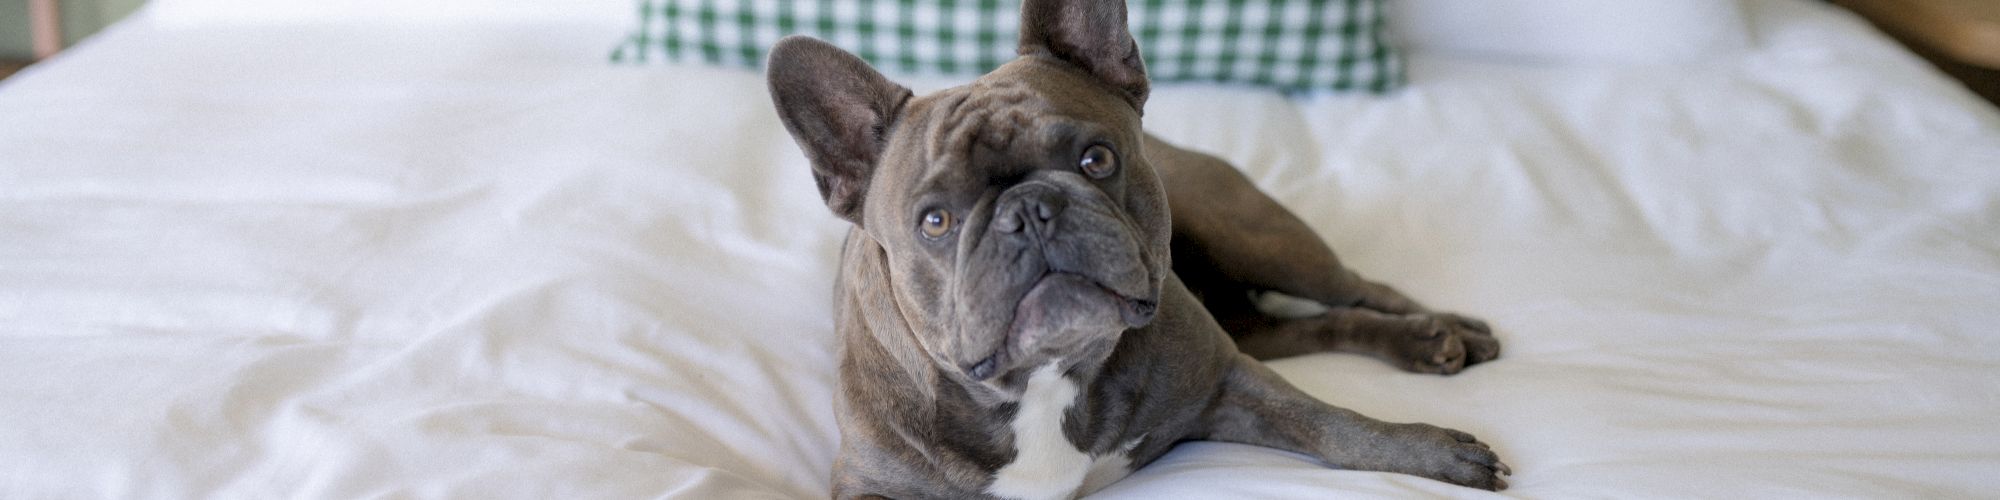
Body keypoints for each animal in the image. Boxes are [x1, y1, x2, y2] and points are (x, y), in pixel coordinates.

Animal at [760, 0, 1504, 496]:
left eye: (1096, 158)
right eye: (935, 222)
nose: (1028, 210)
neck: (1046, 380)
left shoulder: (1226, 380)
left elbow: (1334, 425)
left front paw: (1431, 454)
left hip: (1257, 239)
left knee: (1360, 289)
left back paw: (1443, 332)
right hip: (1249, 317)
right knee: (1306, 324)